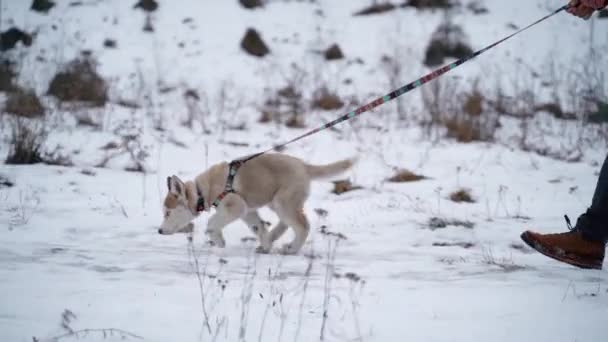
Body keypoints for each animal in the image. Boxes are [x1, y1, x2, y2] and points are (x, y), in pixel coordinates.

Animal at [159, 152, 354, 254]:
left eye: (168, 213)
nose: (159, 231)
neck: (203, 190)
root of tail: (304, 166)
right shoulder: (247, 211)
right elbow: (258, 227)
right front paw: (266, 245)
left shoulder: (235, 207)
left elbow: (212, 223)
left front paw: (218, 240)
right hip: (276, 202)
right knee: (286, 223)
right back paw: (271, 239)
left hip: (283, 202)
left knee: (302, 226)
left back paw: (291, 249)